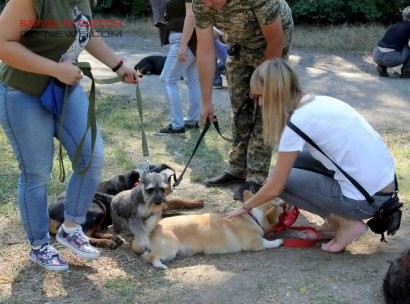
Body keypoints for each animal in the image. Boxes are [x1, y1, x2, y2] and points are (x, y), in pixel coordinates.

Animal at [141, 191, 282, 270]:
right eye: (279, 209)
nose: (283, 204)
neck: (253, 217)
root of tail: (153, 228)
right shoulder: (255, 243)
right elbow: (268, 242)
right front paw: (278, 241)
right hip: (170, 249)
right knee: (151, 257)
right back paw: (160, 266)